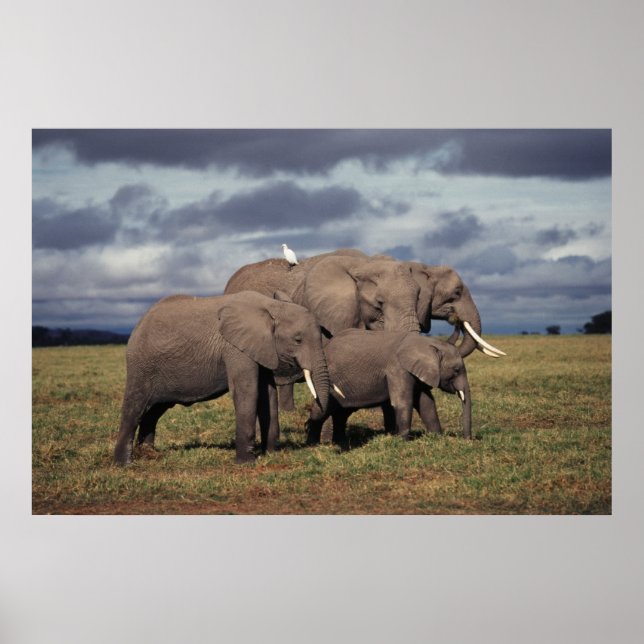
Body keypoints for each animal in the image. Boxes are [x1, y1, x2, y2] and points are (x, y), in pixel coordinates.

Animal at [113, 290, 330, 465]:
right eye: (298, 340)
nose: (307, 426)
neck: (271, 306)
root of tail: (138, 325)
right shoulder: (234, 348)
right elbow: (247, 391)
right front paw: (246, 463)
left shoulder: (262, 348)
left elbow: (267, 395)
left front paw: (271, 454)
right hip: (141, 365)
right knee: (135, 407)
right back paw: (124, 464)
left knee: (153, 411)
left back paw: (148, 454)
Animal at [305, 329, 472, 445]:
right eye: (456, 370)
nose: (467, 440)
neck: (426, 343)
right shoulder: (397, 369)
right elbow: (403, 402)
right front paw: (403, 441)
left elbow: (426, 403)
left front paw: (436, 437)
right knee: (322, 410)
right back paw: (313, 444)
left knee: (341, 413)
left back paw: (340, 442)